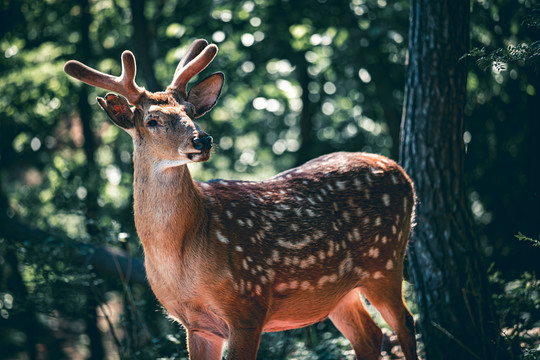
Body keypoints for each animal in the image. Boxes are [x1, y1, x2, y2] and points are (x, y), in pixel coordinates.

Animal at [63, 39, 418, 360]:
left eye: (191, 112)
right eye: (152, 120)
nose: (202, 139)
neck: (182, 255)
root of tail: (402, 172)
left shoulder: (248, 306)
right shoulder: (197, 325)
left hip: (385, 262)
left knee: (406, 323)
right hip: (338, 292)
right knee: (370, 336)